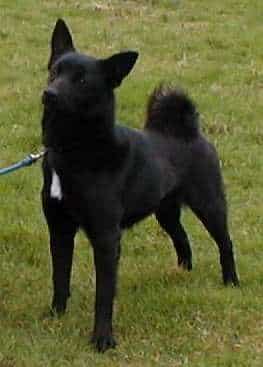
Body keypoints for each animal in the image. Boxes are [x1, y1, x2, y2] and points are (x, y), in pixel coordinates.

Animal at [40, 20, 239, 354]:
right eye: (55, 71)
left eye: (82, 80)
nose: (49, 94)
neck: (74, 151)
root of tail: (187, 131)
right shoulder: (59, 228)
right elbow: (59, 276)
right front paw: (56, 315)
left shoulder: (107, 238)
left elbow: (104, 295)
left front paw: (103, 339)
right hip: (165, 211)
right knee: (182, 238)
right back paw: (182, 272)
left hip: (210, 203)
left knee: (225, 243)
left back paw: (231, 282)